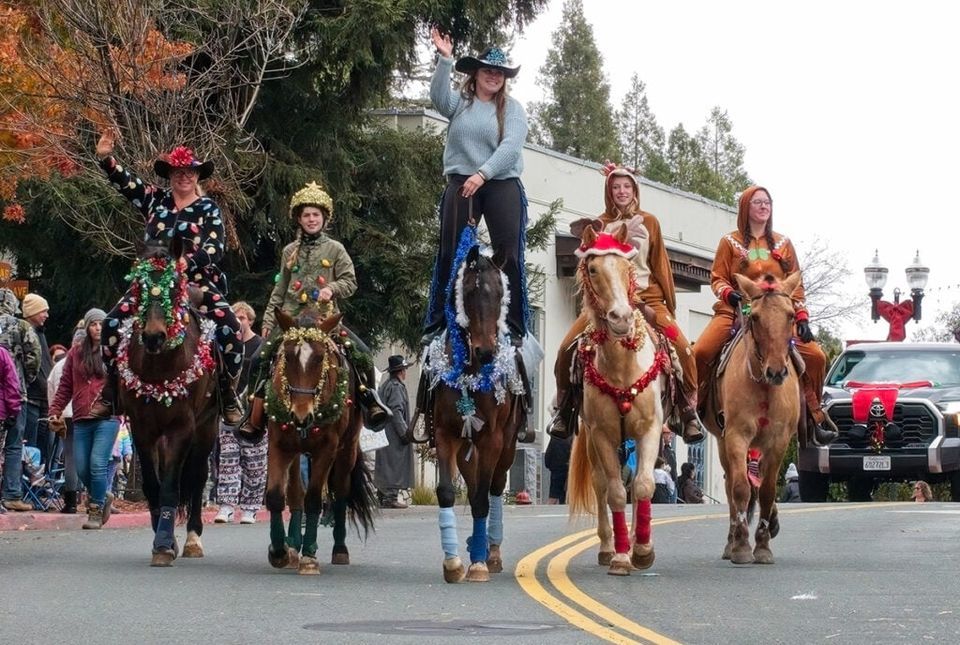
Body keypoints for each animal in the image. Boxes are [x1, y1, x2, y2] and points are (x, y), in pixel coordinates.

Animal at [116, 240, 219, 564]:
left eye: (173, 289)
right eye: (139, 286)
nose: (153, 337)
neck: (160, 368)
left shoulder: (182, 428)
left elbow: (172, 486)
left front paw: (164, 543)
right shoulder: (141, 428)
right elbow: (153, 485)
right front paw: (163, 537)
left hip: (207, 428)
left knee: (198, 478)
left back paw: (193, 538)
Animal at [262, 306, 376, 572]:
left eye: (320, 357)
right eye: (287, 357)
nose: (301, 416)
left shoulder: (327, 449)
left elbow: (314, 499)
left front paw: (310, 555)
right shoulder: (278, 445)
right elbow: (276, 496)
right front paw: (279, 551)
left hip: (347, 450)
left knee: (341, 492)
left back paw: (339, 549)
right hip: (296, 451)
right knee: (296, 493)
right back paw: (293, 544)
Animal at [426, 226, 528, 584]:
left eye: (500, 294)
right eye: (468, 292)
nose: (486, 352)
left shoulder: (493, 439)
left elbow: (484, 498)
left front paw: (480, 564)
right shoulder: (445, 434)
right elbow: (447, 491)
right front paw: (453, 562)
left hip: (507, 445)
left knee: (494, 487)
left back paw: (491, 552)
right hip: (465, 445)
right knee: (471, 488)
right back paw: (474, 546)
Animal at [568, 225, 672, 572]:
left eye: (628, 267)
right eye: (593, 269)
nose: (621, 318)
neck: (623, 368)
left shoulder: (651, 430)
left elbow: (643, 485)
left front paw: (643, 550)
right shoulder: (601, 434)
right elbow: (614, 492)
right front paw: (622, 556)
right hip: (591, 439)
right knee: (600, 484)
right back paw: (606, 547)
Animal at [700, 272, 808, 564]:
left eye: (791, 316)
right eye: (756, 317)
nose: (777, 371)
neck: (764, 387)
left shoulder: (778, 441)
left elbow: (769, 491)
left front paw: (763, 545)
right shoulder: (737, 435)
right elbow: (740, 488)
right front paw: (741, 546)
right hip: (723, 442)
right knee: (731, 485)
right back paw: (731, 542)